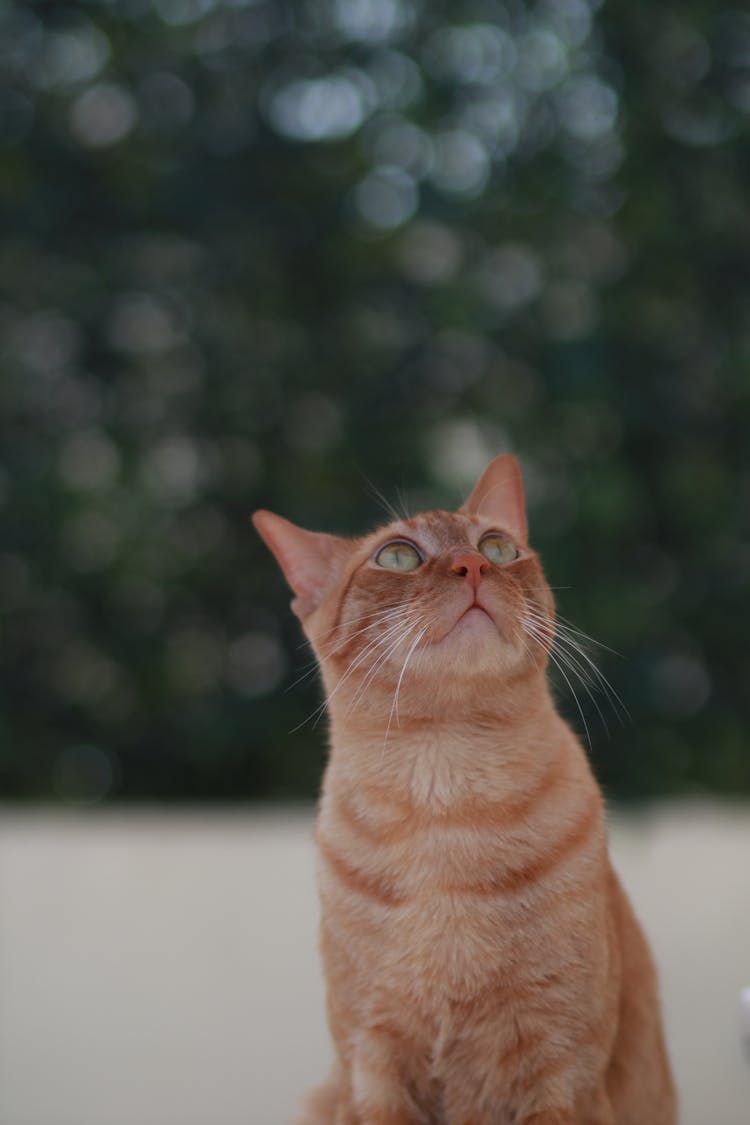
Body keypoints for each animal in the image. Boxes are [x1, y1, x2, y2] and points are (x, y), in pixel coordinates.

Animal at [255, 452, 679, 1120]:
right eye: (398, 555)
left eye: (497, 547)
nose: (473, 565)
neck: (448, 802)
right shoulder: (374, 1069)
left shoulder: (562, 1072)